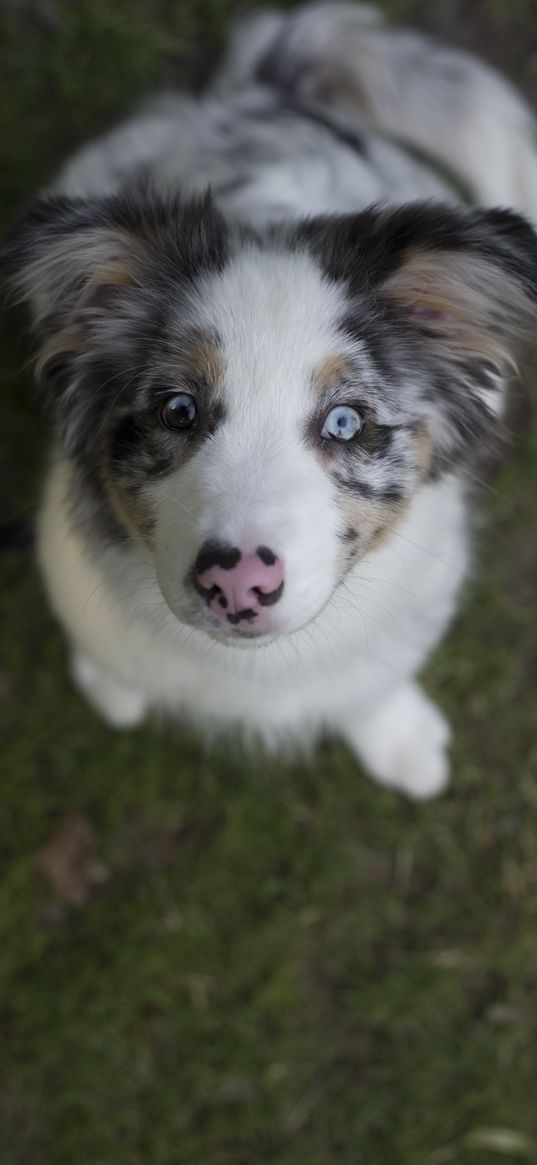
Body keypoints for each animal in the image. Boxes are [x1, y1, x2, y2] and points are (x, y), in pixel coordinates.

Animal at [4, 0, 535, 796]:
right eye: (177, 409)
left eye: (345, 421)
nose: (238, 581)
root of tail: (262, 86)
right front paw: (112, 688)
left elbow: (373, 680)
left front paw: (400, 740)